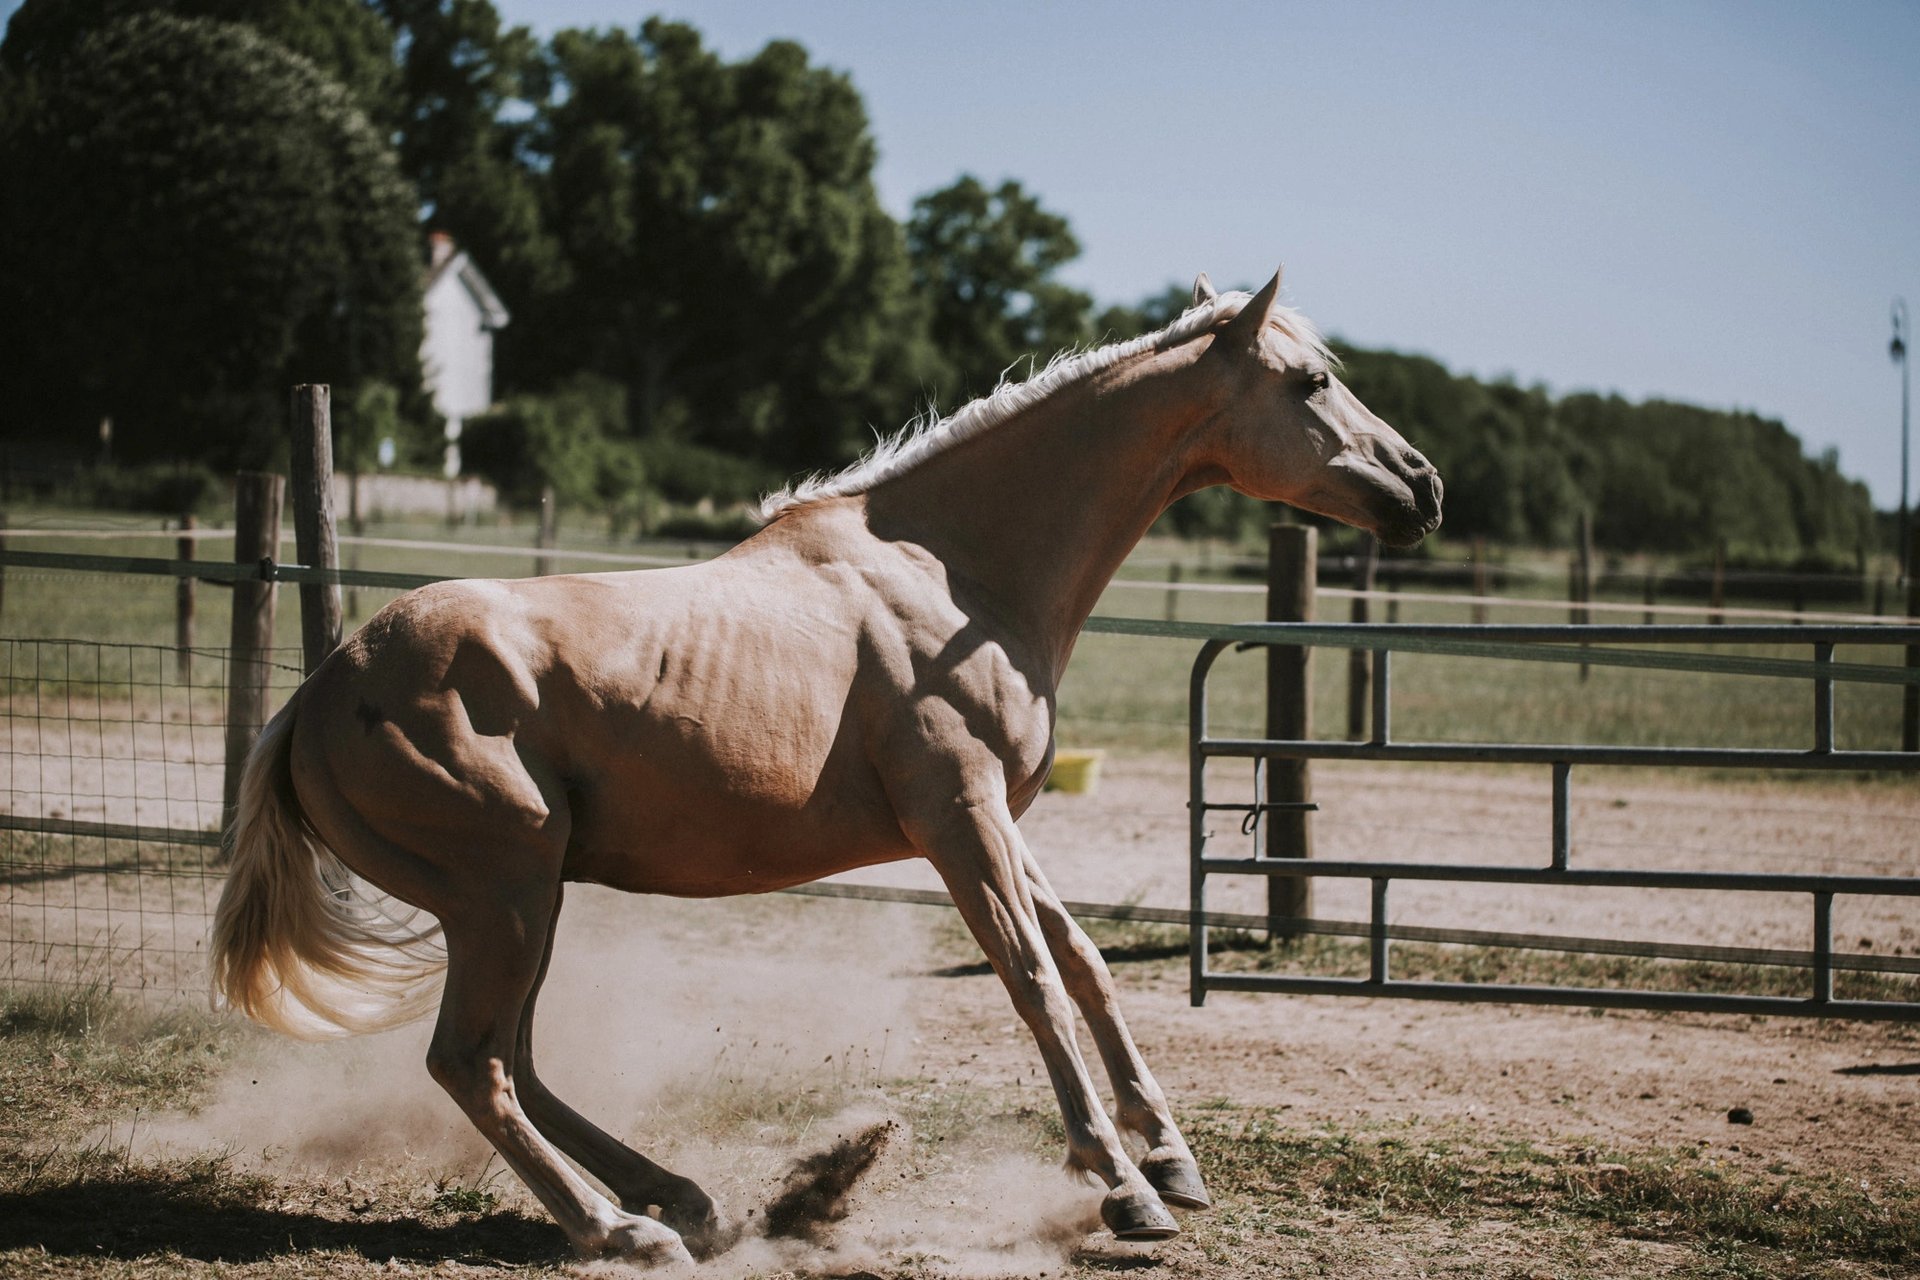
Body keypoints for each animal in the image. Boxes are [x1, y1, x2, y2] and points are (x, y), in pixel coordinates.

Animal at [211, 268, 1443, 1265]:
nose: (1424, 485)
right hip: (501, 898)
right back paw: (622, 1229)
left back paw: (679, 1197)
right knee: (474, 1064)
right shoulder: (959, 820)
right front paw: (1125, 1189)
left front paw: (1172, 1156)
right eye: (1312, 382)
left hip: (527, 900)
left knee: (513, 1058)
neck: (951, 571)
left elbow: (1087, 963)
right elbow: (1033, 979)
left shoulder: (996, 817)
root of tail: (320, 692)